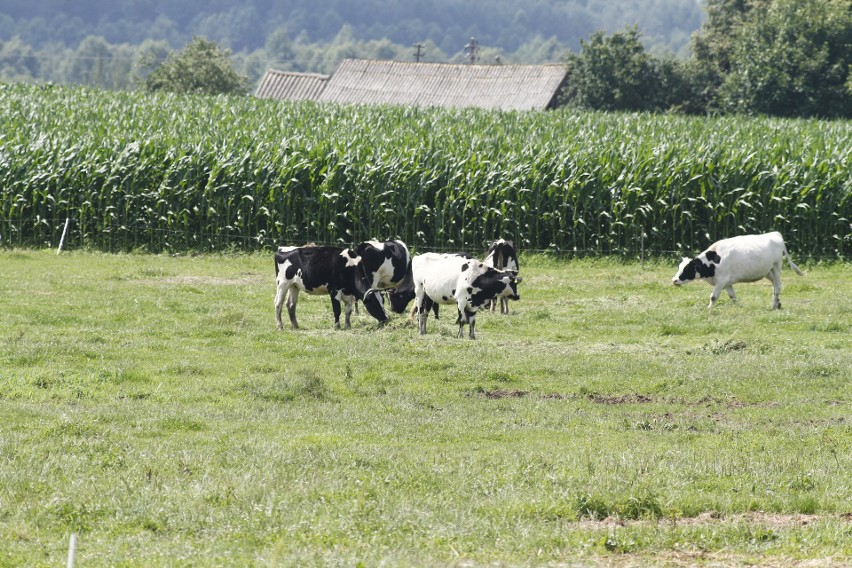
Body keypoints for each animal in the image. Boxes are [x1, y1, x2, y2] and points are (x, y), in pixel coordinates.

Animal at [272, 239, 408, 328]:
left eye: (383, 301)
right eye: (374, 303)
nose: (386, 319)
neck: (350, 267)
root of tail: (282, 250)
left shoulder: (348, 293)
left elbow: (348, 310)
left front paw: (348, 326)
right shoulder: (334, 290)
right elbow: (337, 309)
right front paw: (337, 326)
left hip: (294, 286)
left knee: (290, 305)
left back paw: (295, 325)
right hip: (282, 284)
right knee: (278, 303)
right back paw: (280, 326)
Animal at [672, 231, 804, 310]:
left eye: (687, 269)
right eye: (679, 267)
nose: (674, 280)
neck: (714, 260)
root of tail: (774, 234)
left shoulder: (721, 280)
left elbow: (713, 296)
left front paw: (708, 309)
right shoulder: (727, 283)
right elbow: (733, 296)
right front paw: (738, 307)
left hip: (776, 267)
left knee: (777, 286)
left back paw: (774, 305)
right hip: (767, 271)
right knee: (774, 285)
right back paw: (777, 303)